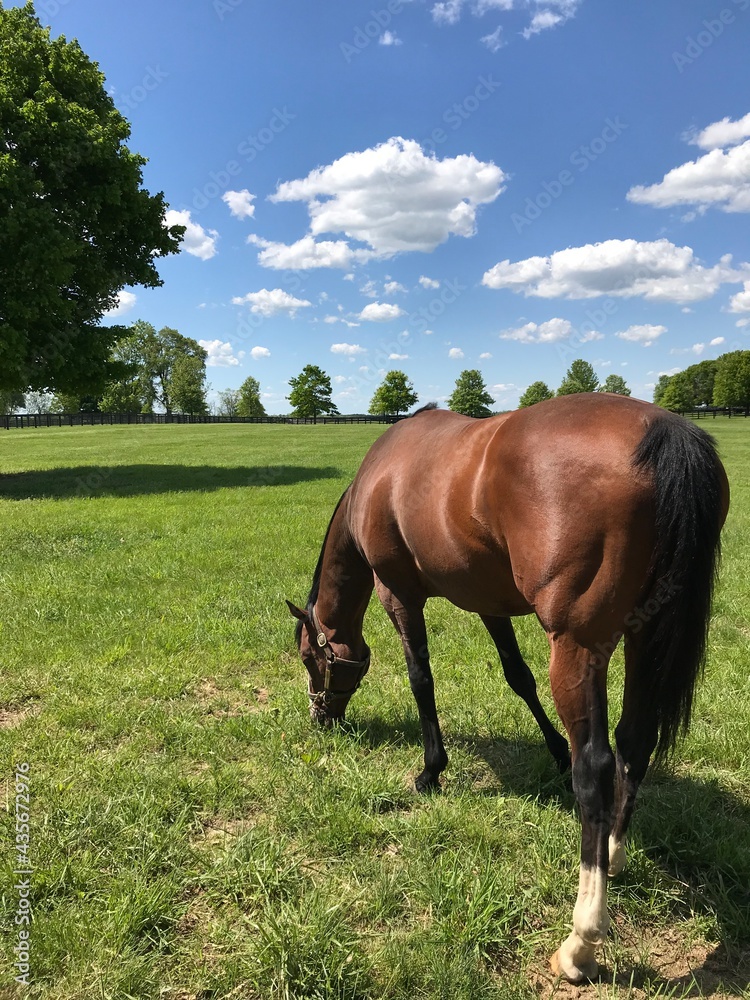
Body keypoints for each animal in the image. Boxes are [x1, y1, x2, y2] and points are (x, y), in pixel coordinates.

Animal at [287, 393, 728, 983]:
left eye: (309, 657)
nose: (321, 717)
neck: (378, 481)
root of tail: (664, 428)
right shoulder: (488, 602)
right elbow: (517, 677)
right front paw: (553, 750)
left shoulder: (399, 595)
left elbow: (421, 678)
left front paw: (431, 769)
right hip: (644, 633)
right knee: (635, 742)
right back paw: (612, 855)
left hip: (578, 645)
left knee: (598, 766)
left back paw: (581, 941)